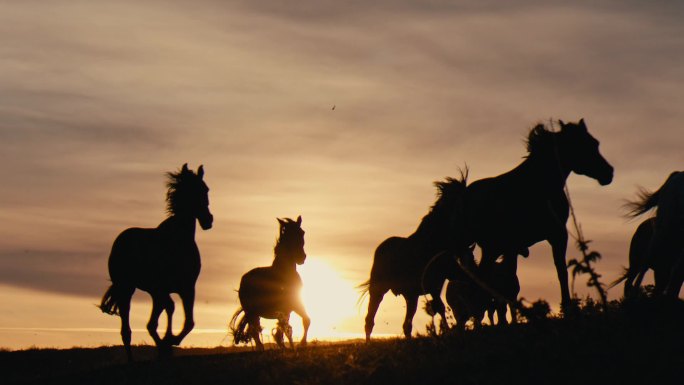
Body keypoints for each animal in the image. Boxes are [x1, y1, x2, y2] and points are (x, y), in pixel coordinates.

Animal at [99, 164, 211, 362]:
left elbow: (189, 322)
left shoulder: (187, 288)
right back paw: (134, 358)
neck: (177, 240)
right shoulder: (164, 288)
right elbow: (171, 316)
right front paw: (169, 341)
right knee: (127, 329)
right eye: (194, 191)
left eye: (205, 190)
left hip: (152, 292)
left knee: (156, 318)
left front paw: (170, 341)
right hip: (127, 288)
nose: (208, 221)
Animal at [230, 214, 310, 350]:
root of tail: (244, 279)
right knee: (254, 331)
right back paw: (260, 348)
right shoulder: (287, 306)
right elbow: (284, 327)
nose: (301, 257)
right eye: (288, 234)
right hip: (251, 312)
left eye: (302, 232)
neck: (283, 273)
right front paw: (298, 344)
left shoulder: (292, 305)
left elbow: (304, 321)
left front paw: (297, 344)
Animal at [358, 174, 470, 340]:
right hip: (380, 289)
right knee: (370, 320)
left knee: (406, 324)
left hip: (410, 295)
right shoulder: (424, 288)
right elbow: (437, 309)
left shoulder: (439, 283)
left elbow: (440, 307)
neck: (430, 244)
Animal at [464, 118, 616, 308]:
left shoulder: (550, 237)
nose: (609, 172)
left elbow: (561, 271)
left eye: (595, 143)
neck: (539, 185)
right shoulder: (544, 237)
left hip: (492, 249)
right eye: (582, 144)